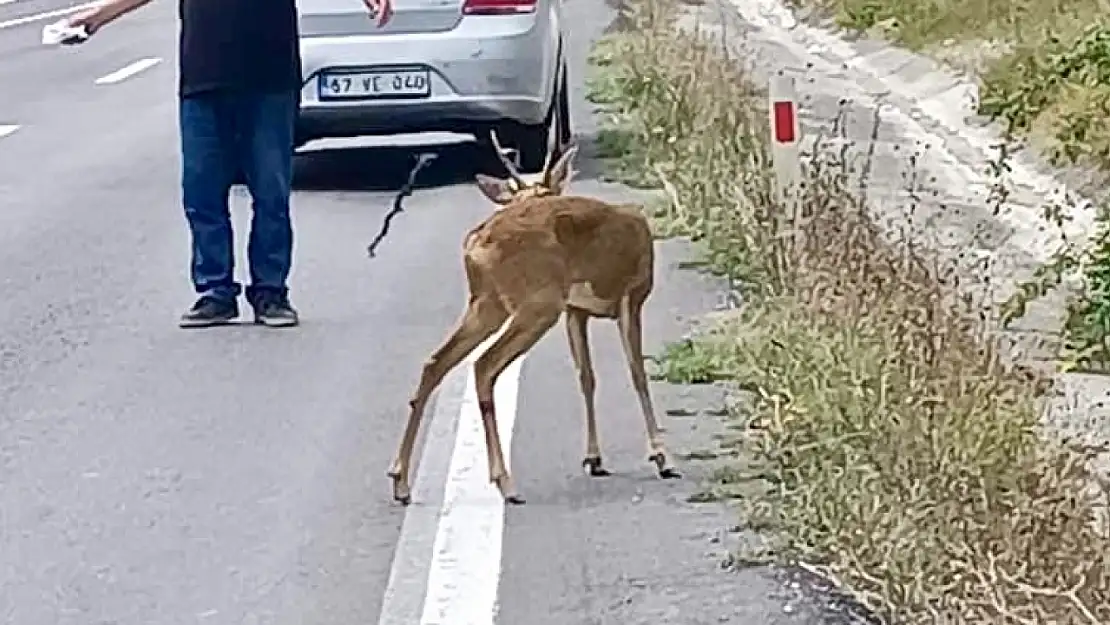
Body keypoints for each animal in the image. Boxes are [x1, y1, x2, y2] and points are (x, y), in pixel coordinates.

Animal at [386, 123, 679, 508]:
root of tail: (475, 244)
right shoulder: (632, 296)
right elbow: (638, 375)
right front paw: (662, 456)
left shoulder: (576, 312)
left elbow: (586, 377)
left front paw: (594, 458)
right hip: (537, 304)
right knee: (483, 365)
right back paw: (505, 483)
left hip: (488, 303)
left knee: (436, 361)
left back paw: (400, 481)